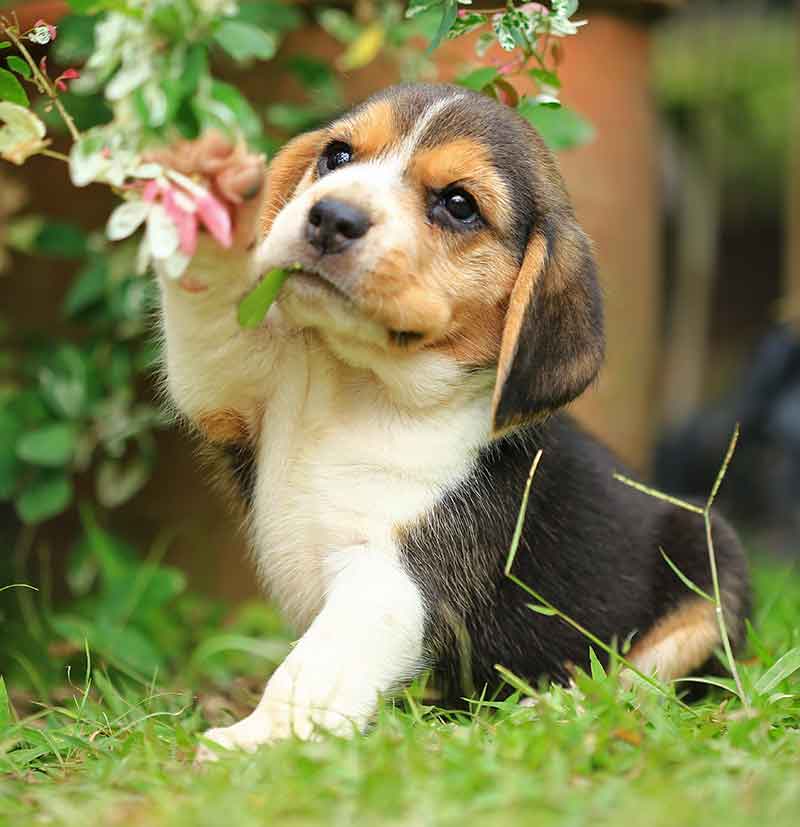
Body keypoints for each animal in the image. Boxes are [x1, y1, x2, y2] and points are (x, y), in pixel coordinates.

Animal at [152, 81, 752, 760]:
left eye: (459, 205)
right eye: (337, 155)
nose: (332, 216)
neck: (368, 387)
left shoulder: (395, 581)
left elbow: (316, 665)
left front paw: (256, 739)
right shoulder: (238, 386)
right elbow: (215, 328)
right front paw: (209, 193)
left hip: (712, 573)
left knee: (638, 683)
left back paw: (549, 712)